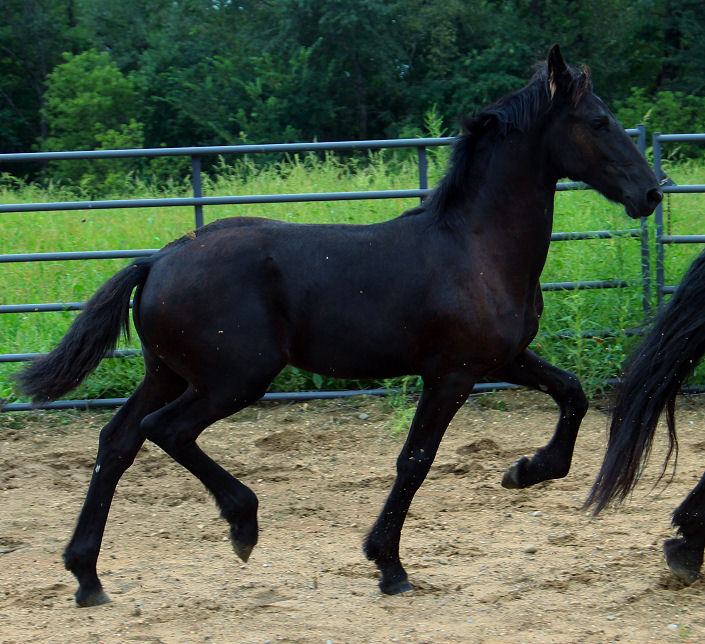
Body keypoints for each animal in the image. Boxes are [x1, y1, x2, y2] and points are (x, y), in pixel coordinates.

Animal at [15, 45, 662, 606]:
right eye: (599, 121)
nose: (651, 193)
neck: (477, 248)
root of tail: (157, 260)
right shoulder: (452, 374)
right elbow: (414, 460)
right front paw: (390, 566)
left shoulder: (502, 359)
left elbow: (572, 393)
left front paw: (527, 471)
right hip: (233, 379)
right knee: (164, 431)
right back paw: (242, 524)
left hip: (170, 372)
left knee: (118, 439)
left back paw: (87, 577)